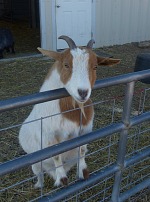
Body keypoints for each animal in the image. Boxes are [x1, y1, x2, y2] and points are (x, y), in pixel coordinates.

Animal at [18, 35, 120, 188]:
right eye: (66, 64)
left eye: (95, 66)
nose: (83, 92)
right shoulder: (48, 135)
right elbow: (56, 154)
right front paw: (62, 178)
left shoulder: (86, 130)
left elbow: (82, 149)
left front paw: (83, 172)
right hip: (35, 164)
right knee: (40, 174)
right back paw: (40, 185)